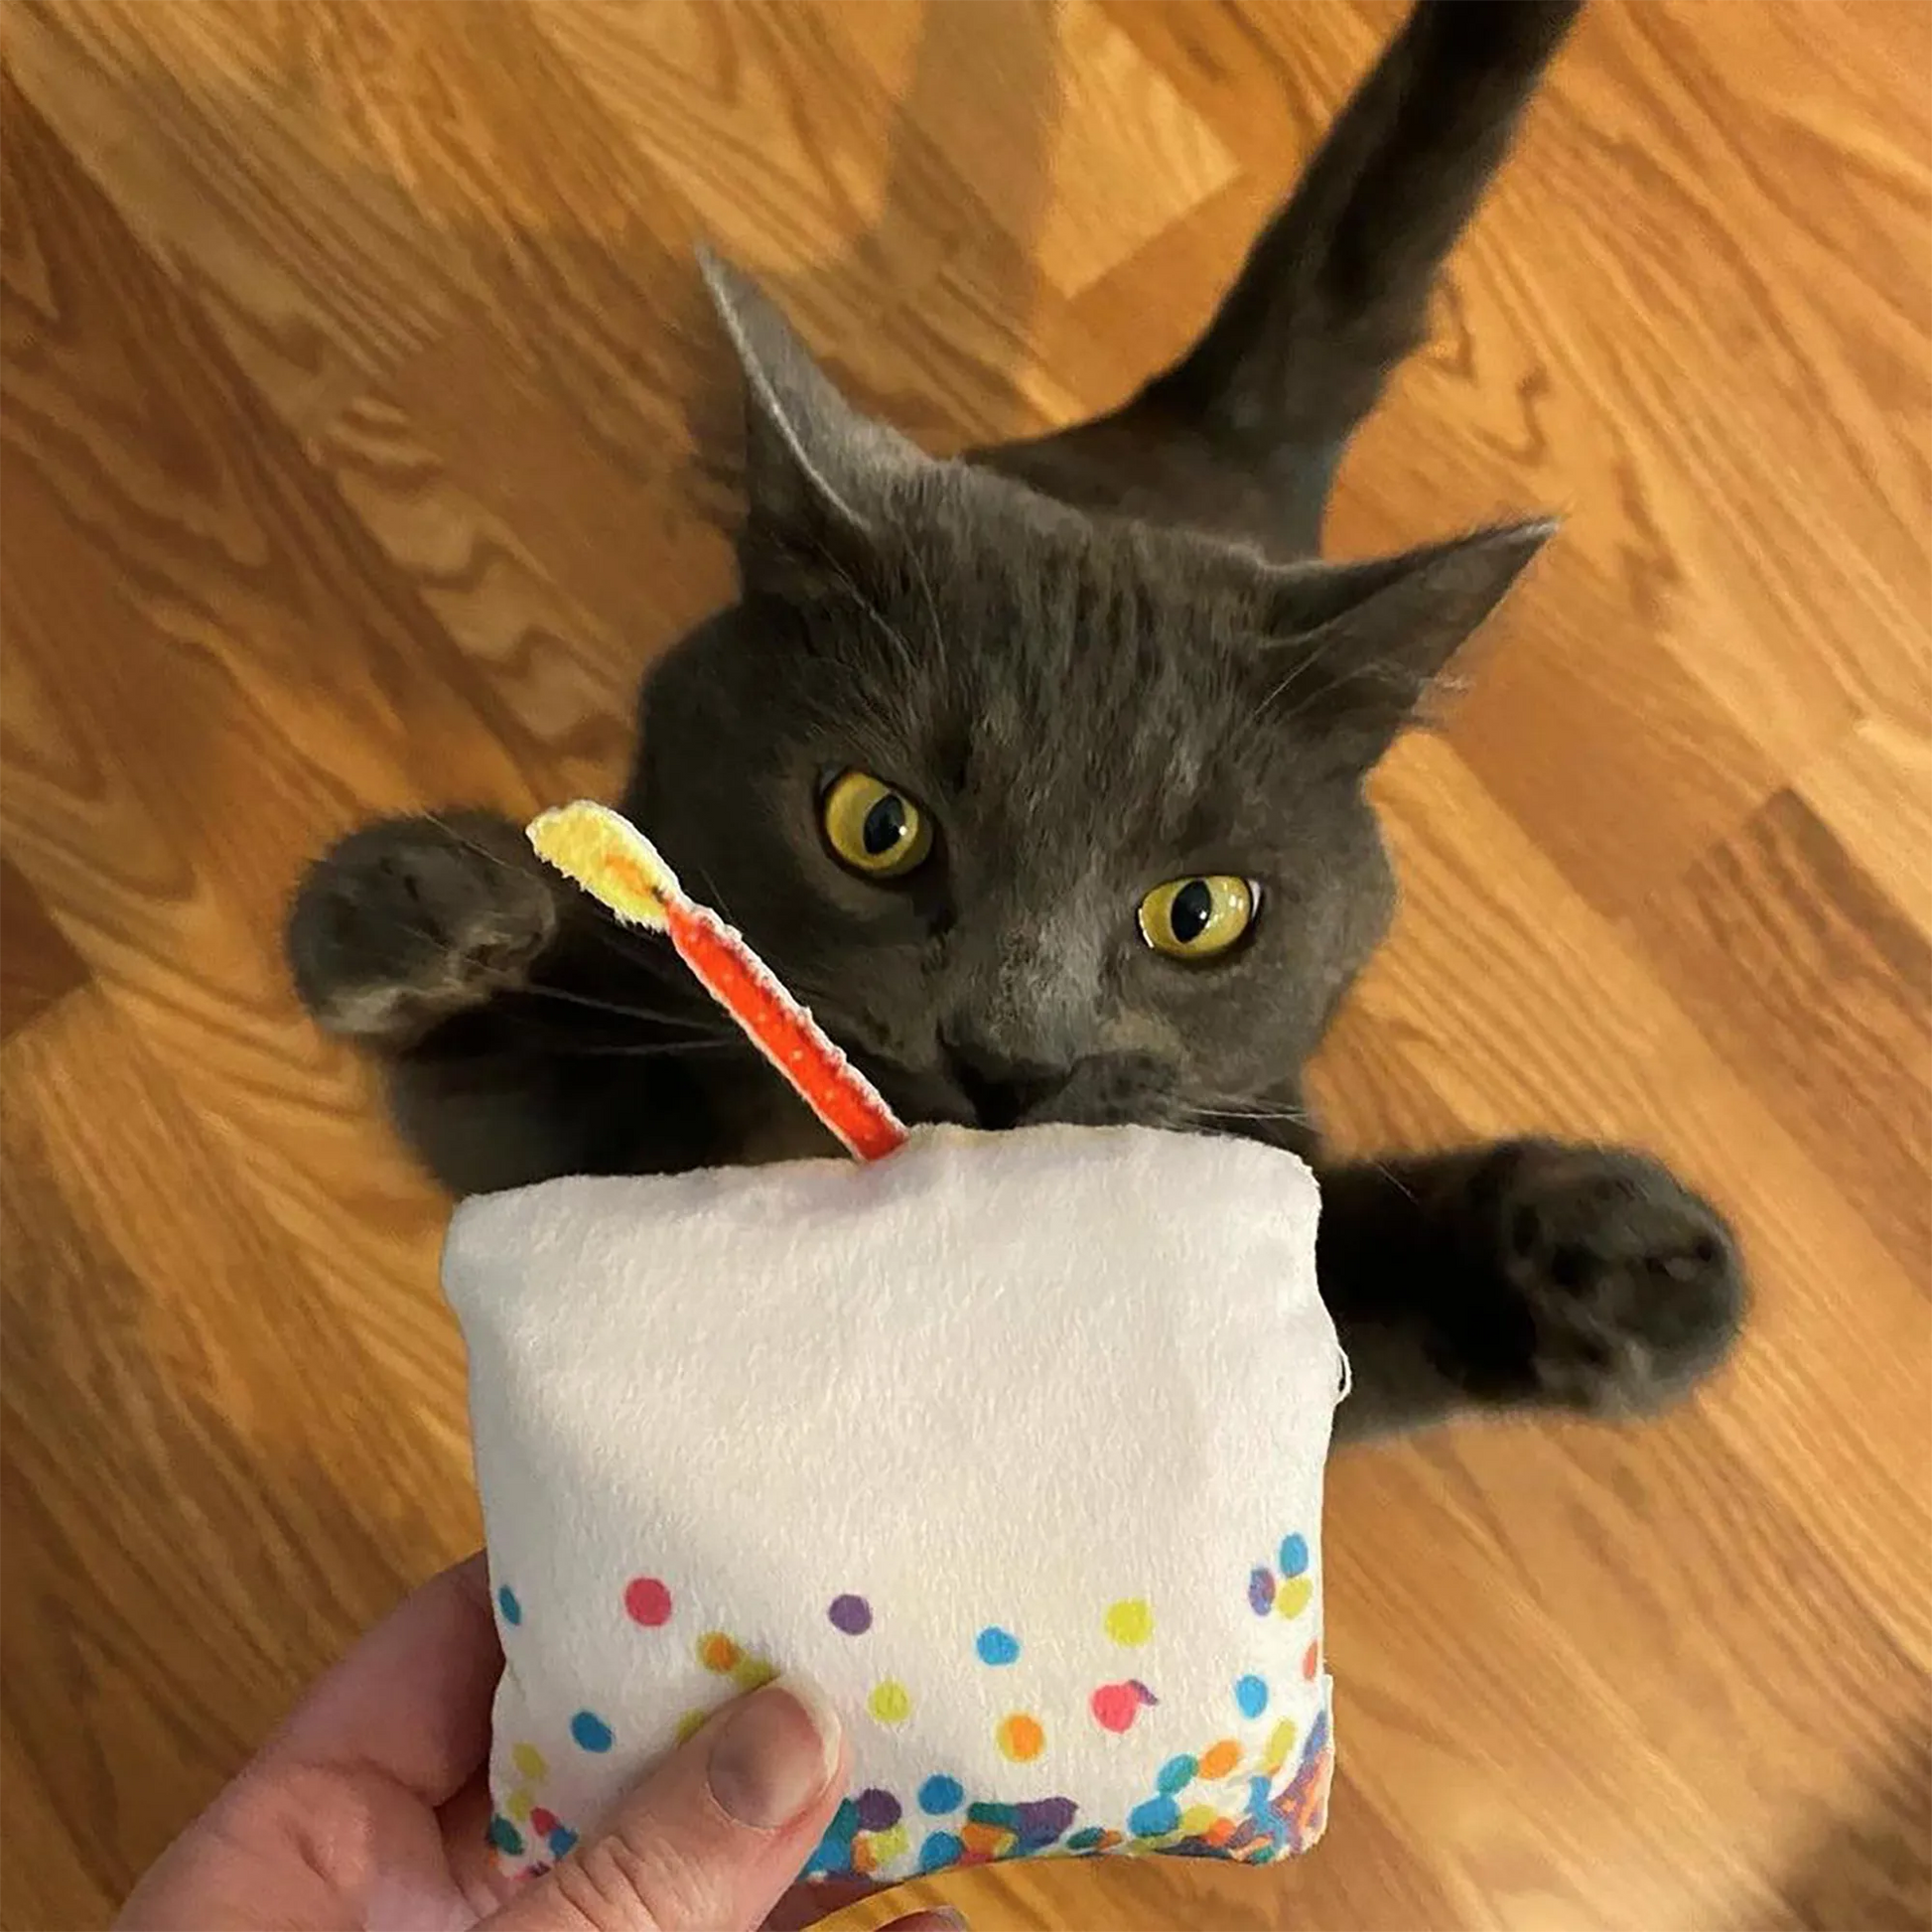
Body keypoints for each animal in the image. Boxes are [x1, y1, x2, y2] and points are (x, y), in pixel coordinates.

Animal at [289, 0, 1753, 1452]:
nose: (1007, 1057)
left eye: (1201, 911)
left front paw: (1614, 1258)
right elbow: (513, 1094)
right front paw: (431, 910)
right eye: (874, 825)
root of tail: (1184, 441)